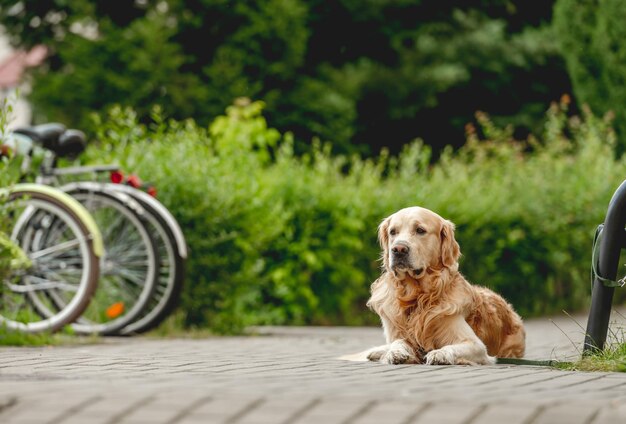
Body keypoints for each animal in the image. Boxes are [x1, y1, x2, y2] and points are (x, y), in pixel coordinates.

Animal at [364, 206, 524, 364]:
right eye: (393, 232)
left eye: (420, 230)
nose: (398, 249)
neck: (417, 296)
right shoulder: (398, 332)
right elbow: (397, 342)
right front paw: (395, 352)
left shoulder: (477, 346)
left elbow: (452, 347)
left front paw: (439, 354)